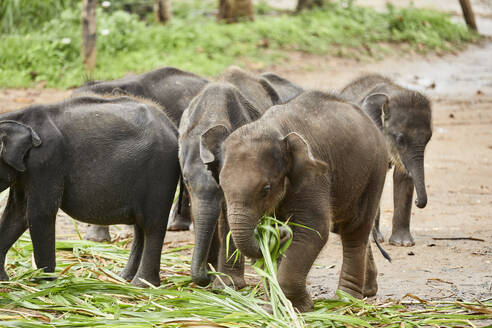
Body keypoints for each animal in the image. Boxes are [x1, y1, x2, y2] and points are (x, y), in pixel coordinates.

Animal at [0, 93, 180, 286]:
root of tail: (171, 125)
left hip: (161, 170)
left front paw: (48, 284)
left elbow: (40, 214)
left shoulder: (46, 162)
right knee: (141, 226)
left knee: (152, 225)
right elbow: (16, 215)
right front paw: (3, 280)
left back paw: (141, 284)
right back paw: (124, 278)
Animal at [203, 91, 388, 312]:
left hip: (374, 173)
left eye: (266, 189)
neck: (271, 127)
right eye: (222, 185)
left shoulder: (314, 177)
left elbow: (314, 230)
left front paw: (299, 307)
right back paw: (365, 291)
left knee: (355, 230)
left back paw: (346, 299)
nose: (281, 232)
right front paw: (275, 303)